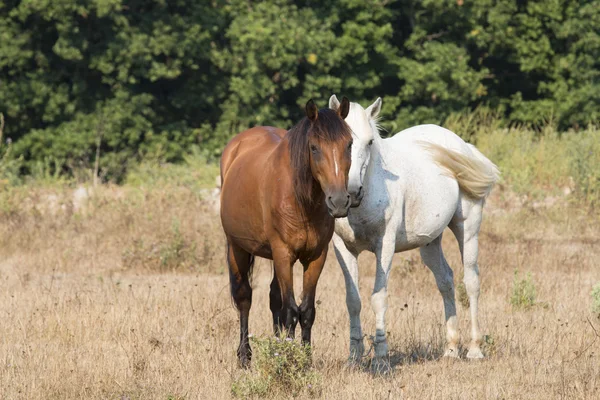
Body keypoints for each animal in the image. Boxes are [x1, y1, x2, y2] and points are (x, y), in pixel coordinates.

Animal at [219, 97, 352, 366]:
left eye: (349, 145)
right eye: (314, 147)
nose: (339, 202)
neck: (302, 201)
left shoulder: (316, 257)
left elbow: (306, 310)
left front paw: (305, 361)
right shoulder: (283, 253)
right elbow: (290, 311)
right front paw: (290, 362)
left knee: (274, 298)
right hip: (238, 248)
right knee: (244, 297)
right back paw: (245, 356)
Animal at [330, 94, 500, 366]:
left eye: (369, 142)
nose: (352, 192)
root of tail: (462, 145)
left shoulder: (385, 245)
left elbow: (378, 298)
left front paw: (380, 357)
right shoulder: (343, 248)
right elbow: (353, 300)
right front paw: (353, 358)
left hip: (468, 228)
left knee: (471, 281)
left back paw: (474, 349)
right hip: (430, 243)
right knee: (446, 280)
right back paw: (451, 349)